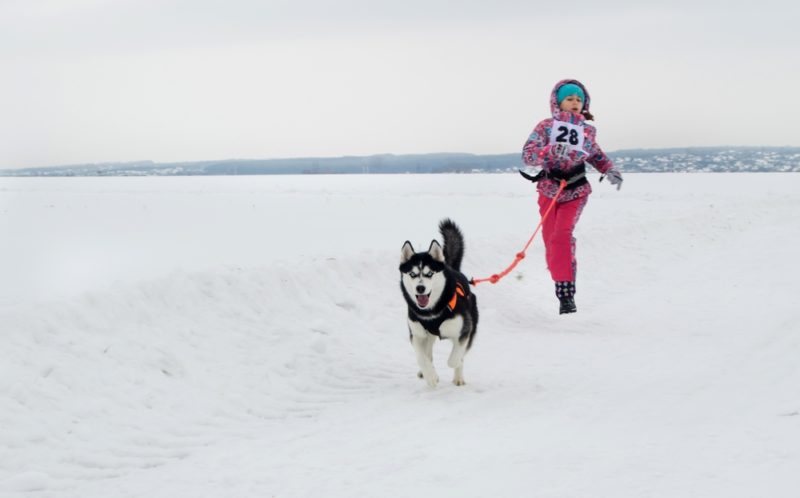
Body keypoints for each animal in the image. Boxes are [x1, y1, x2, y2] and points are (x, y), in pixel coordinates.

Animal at [398, 219, 478, 390]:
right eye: (412, 274)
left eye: (429, 274)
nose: (420, 288)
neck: (431, 312)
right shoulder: (417, 334)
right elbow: (421, 357)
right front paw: (431, 375)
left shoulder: (464, 331)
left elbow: (454, 359)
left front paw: (455, 366)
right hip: (427, 335)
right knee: (428, 351)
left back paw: (458, 378)